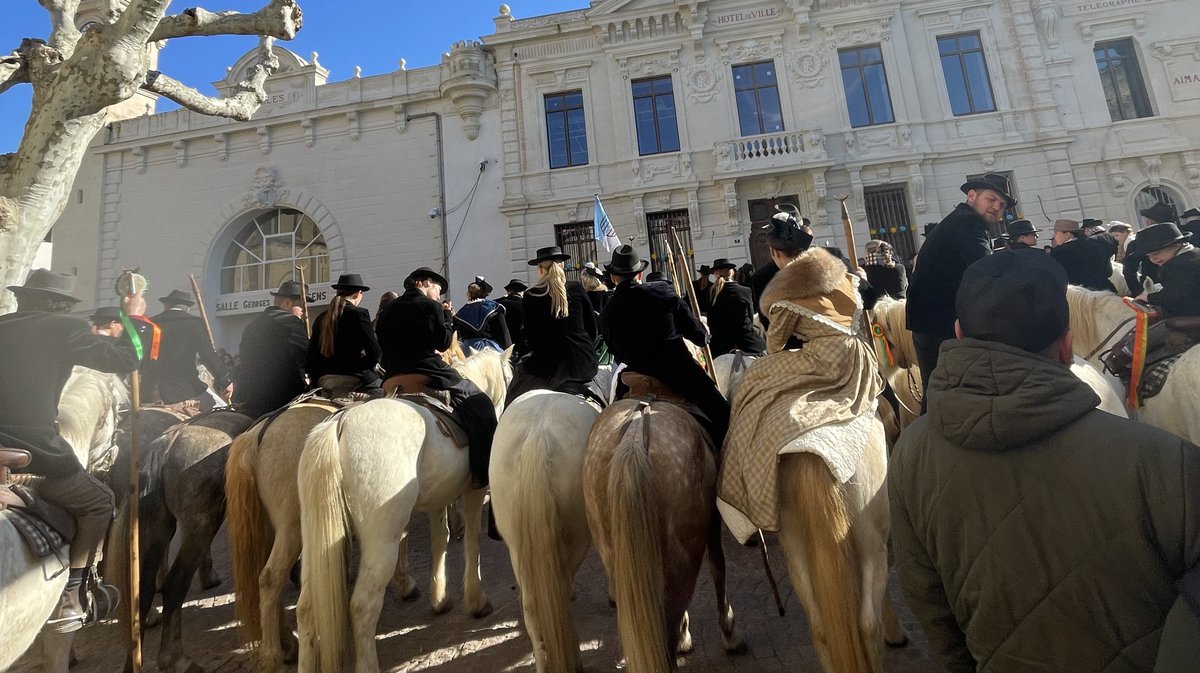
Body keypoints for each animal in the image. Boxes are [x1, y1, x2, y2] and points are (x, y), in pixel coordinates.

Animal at [298, 345, 511, 671]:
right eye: (509, 376)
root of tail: (338, 426)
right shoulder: (473, 489)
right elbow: (472, 541)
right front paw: (476, 602)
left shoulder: (438, 496)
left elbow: (440, 541)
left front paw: (440, 599)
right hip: (380, 541)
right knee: (362, 606)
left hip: (316, 541)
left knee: (307, 608)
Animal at [580, 393, 739, 671]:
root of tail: (634, 437)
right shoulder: (713, 519)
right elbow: (718, 565)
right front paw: (728, 633)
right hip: (683, 558)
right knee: (669, 624)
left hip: (613, 553)